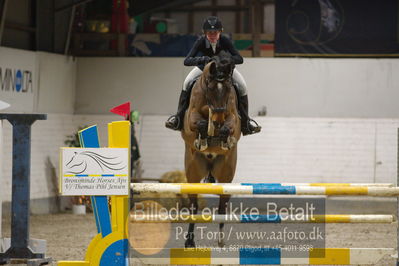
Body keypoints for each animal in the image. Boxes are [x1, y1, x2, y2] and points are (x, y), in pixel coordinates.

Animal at [181, 51, 241, 248]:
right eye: (210, 88)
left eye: (229, 89)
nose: (218, 120)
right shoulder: (191, 117)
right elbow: (198, 123)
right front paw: (204, 137)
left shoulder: (233, 117)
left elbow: (230, 126)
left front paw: (223, 138)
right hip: (193, 171)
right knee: (193, 205)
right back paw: (189, 241)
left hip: (226, 173)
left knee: (222, 204)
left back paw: (221, 239)